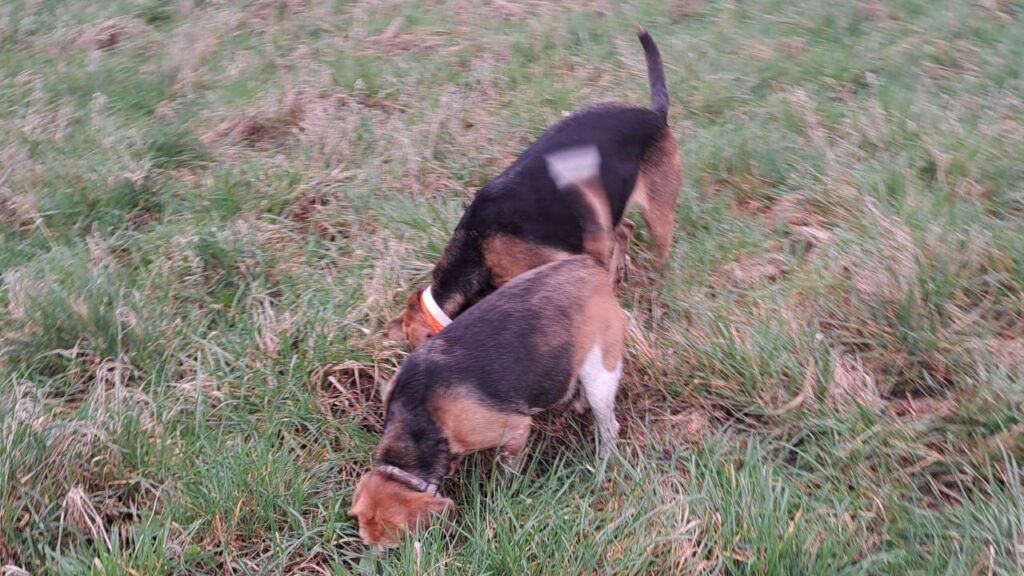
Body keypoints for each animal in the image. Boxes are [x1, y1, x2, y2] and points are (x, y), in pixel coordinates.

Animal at [350, 145, 622, 549]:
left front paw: (503, 493)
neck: (418, 418)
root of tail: (589, 266)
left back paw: (602, 462)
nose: (371, 558)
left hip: (601, 372)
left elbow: (507, 468)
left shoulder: (514, 430)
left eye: (388, 547)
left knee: (608, 425)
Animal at [385, 29, 679, 348]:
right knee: (626, 228)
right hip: (610, 209)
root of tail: (654, 114)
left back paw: (656, 288)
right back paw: (617, 276)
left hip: (657, 214)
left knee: (658, 253)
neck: (477, 250)